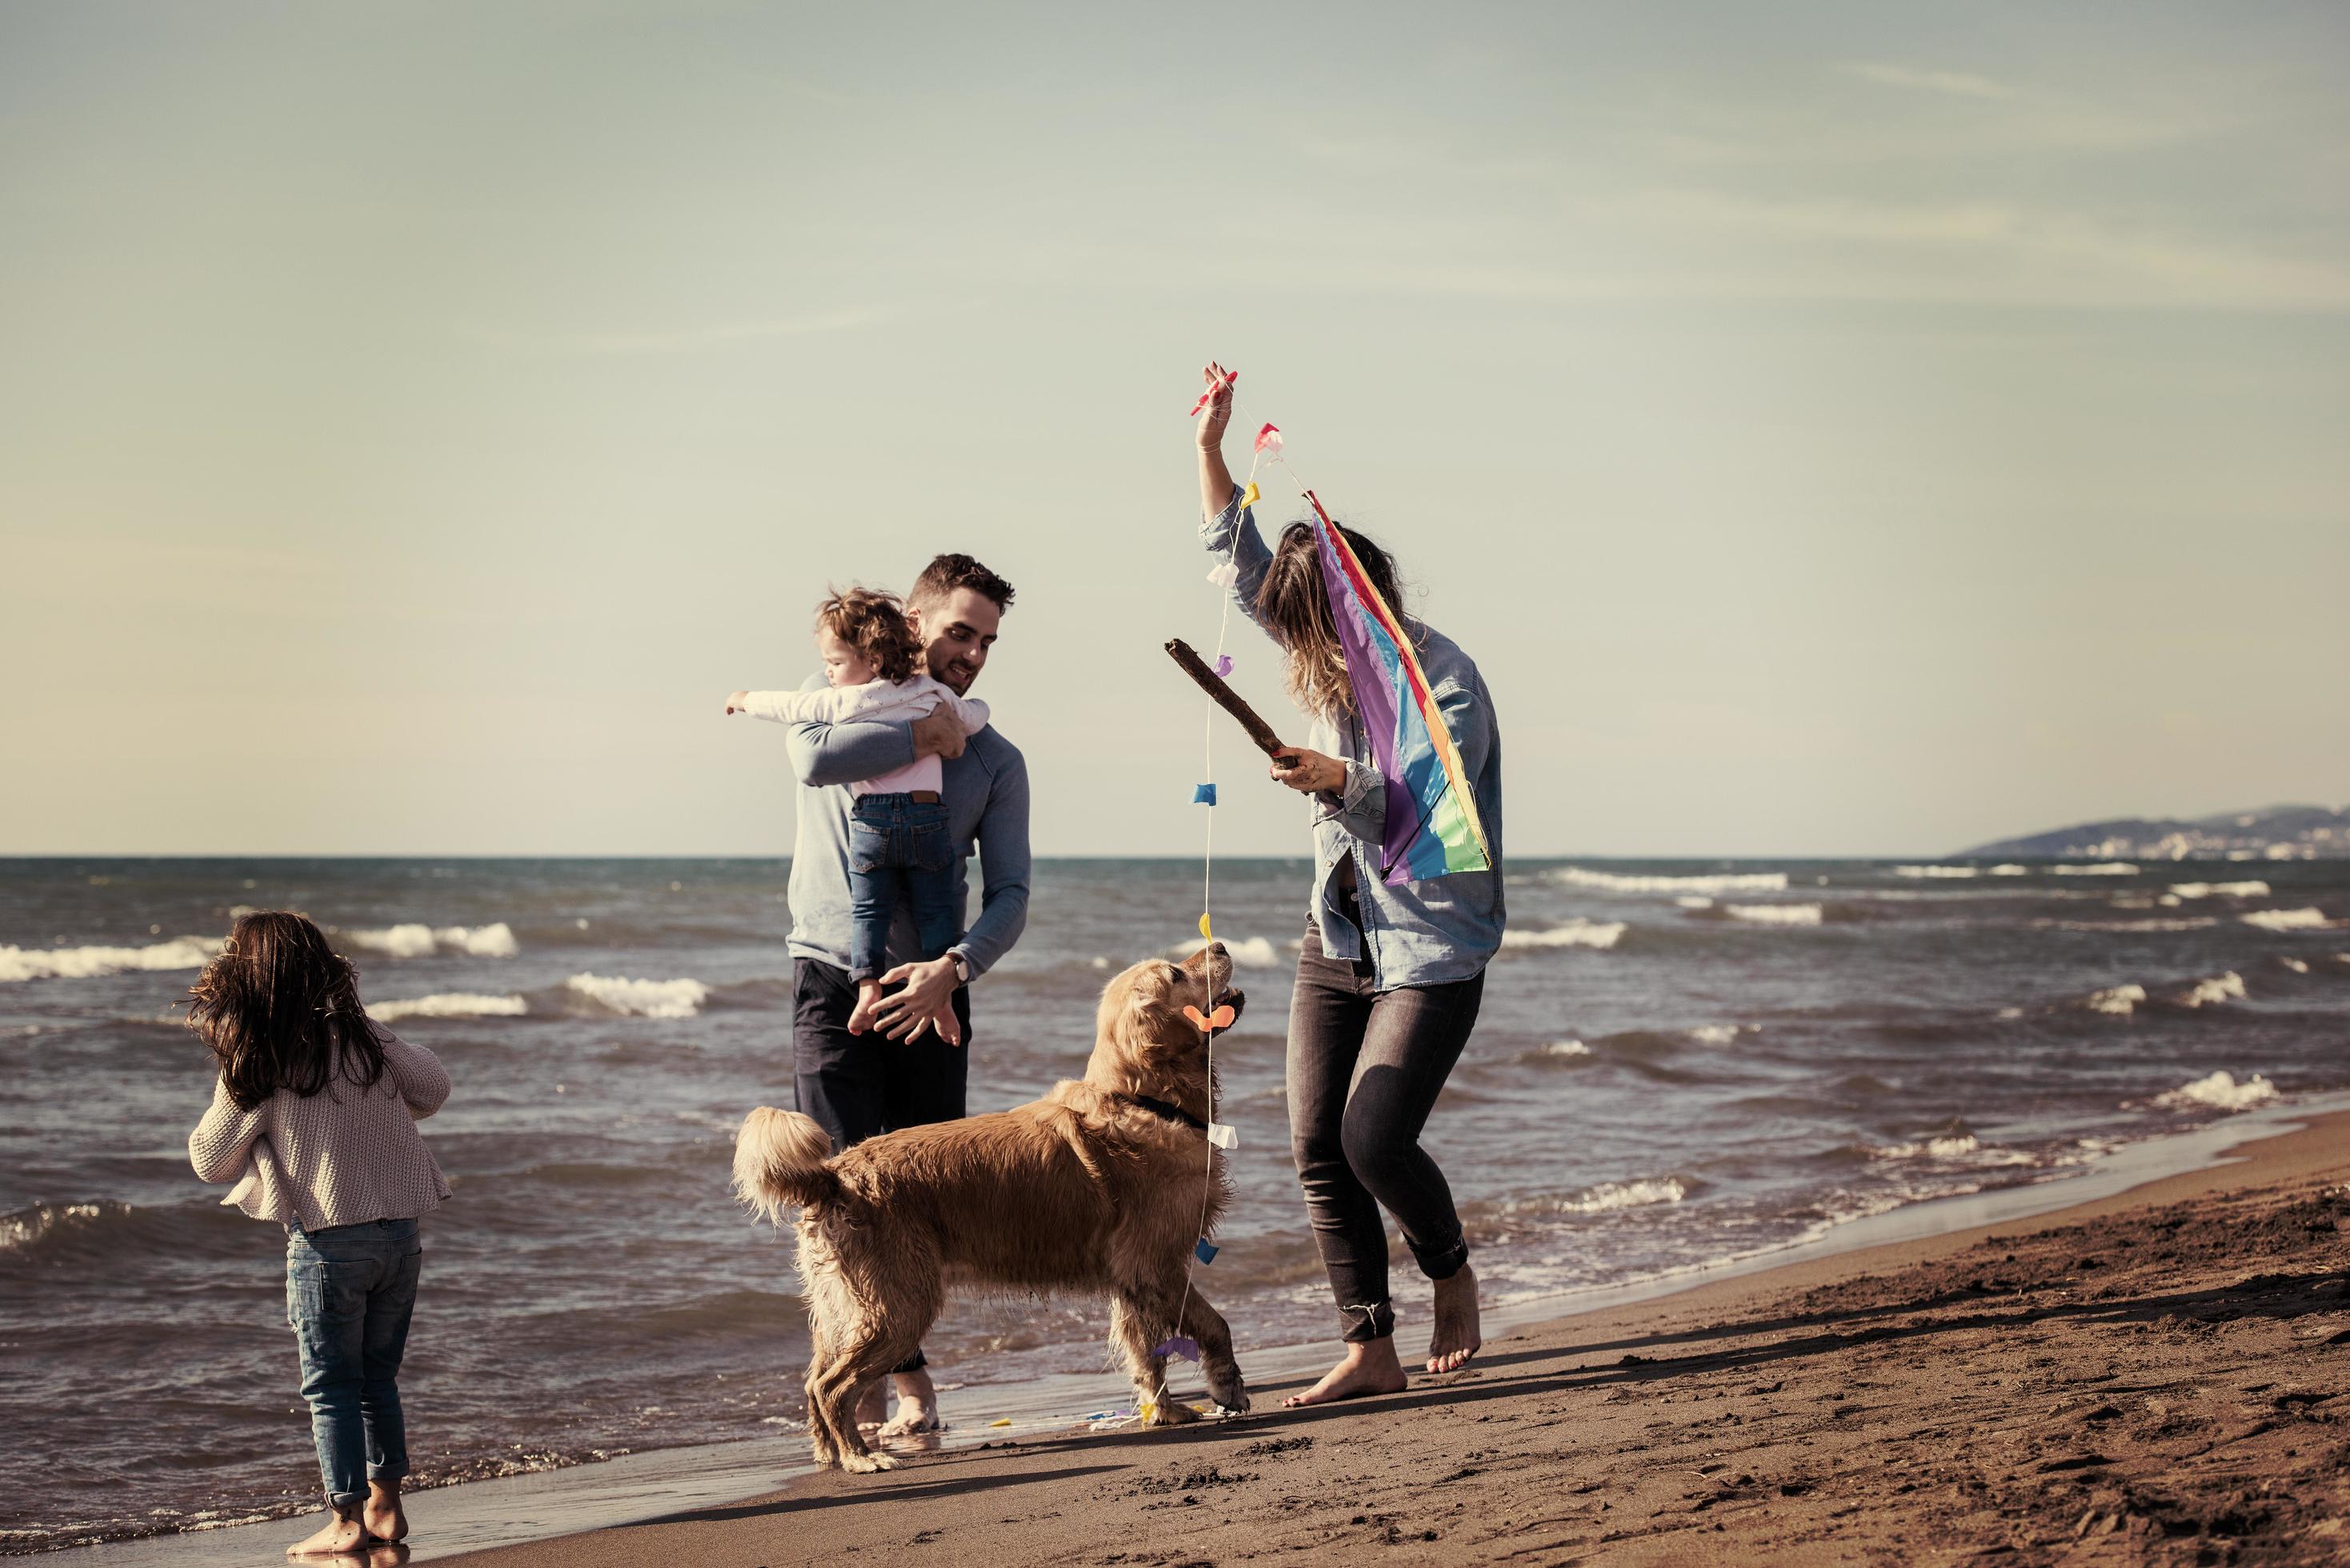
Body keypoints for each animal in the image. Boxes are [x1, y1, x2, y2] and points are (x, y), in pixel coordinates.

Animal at [733, 945, 1250, 1476]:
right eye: (1175, 973)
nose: (1220, 947)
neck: (1143, 1099)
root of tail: (832, 1176)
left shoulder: (1133, 1280)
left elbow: (1148, 1354)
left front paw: (1164, 1411)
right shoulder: (1156, 1266)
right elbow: (1215, 1325)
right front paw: (1227, 1387)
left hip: (842, 1306)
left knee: (812, 1379)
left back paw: (828, 1455)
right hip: (899, 1307)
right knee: (832, 1386)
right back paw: (863, 1457)